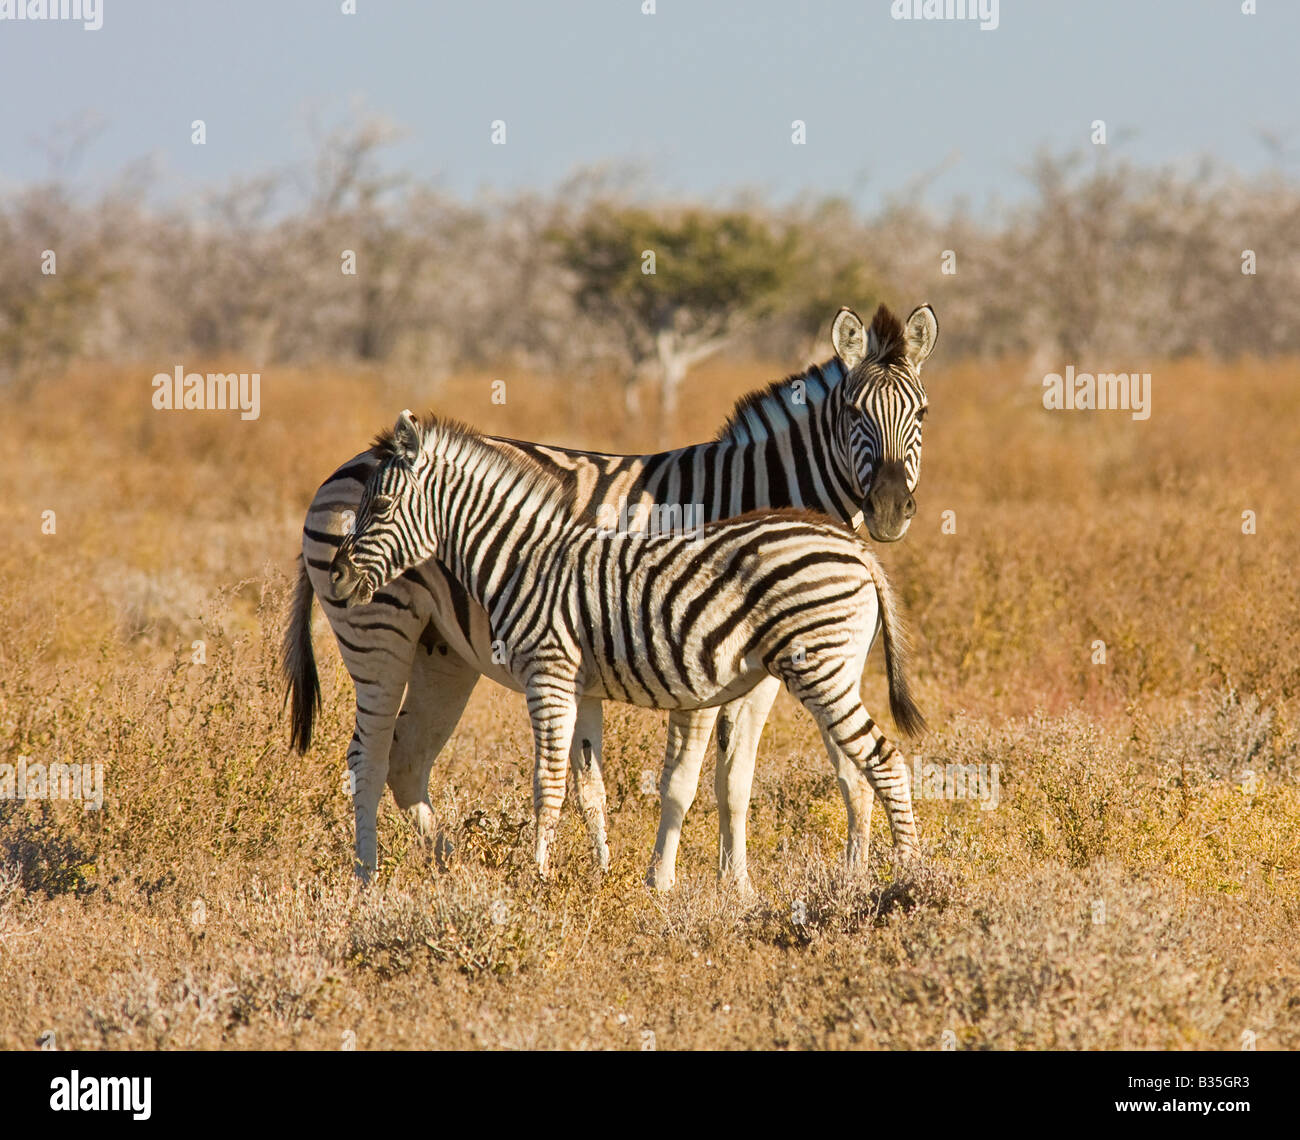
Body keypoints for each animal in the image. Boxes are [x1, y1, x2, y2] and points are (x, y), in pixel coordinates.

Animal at [283, 302, 937, 884]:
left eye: (924, 411)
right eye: (853, 410)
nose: (888, 507)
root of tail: (343, 467)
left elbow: (754, 776)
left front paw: (760, 882)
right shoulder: (709, 665)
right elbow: (693, 778)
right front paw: (674, 882)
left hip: (440, 653)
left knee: (406, 760)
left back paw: (446, 868)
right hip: (380, 632)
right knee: (368, 758)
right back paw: (370, 877)